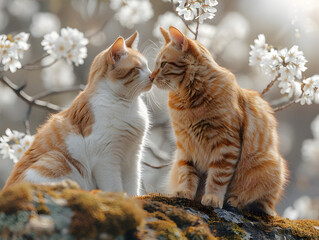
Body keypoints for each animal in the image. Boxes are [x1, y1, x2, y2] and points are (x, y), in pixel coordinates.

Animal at [2, 32, 152, 197]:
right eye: (138, 68)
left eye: (148, 66)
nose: (152, 76)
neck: (127, 103)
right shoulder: (106, 159)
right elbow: (115, 188)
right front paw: (120, 199)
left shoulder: (133, 158)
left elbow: (133, 185)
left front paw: (132, 199)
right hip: (56, 160)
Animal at [151, 26, 288, 216]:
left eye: (163, 64)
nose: (151, 77)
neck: (188, 100)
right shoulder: (185, 147)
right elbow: (187, 174)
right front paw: (185, 192)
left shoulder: (226, 144)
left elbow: (217, 176)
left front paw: (213, 197)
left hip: (268, 166)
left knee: (259, 203)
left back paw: (235, 201)